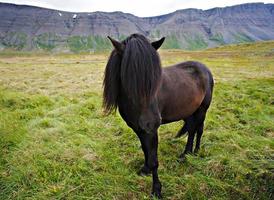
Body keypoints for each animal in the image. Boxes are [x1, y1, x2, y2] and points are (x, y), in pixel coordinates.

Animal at [103, 33, 214, 198]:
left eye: (154, 79)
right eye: (129, 77)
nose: (150, 122)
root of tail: (204, 68)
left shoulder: (151, 131)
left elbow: (154, 159)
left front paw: (156, 190)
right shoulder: (139, 129)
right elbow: (145, 150)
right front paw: (145, 170)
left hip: (202, 109)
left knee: (199, 130)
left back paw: (195, 152)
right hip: (188, 111)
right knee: (192, 129)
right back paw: (185, 154)